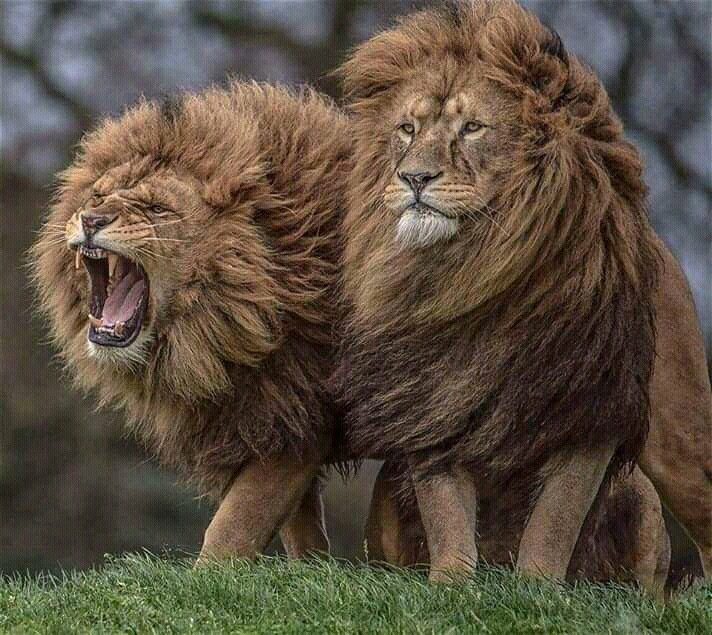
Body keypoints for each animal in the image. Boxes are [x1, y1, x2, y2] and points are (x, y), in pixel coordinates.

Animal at [31, 82, 351, 561]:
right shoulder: (267, 419)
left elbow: (237, 522)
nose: (91, 219)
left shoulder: (296, 408)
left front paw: (211, 573)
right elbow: (300, 527)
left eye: (155, 208)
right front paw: (314, 570)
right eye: (97, 198)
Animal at [335, 0, 711, 585]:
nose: (413, 178)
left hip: (677, 448)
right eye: (406, 128)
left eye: (472, 127)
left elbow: (555, 516)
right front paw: (451, 585)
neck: (483, 276)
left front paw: (536, 588)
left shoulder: (586, 408)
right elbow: (446, 512)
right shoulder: (434, 399)